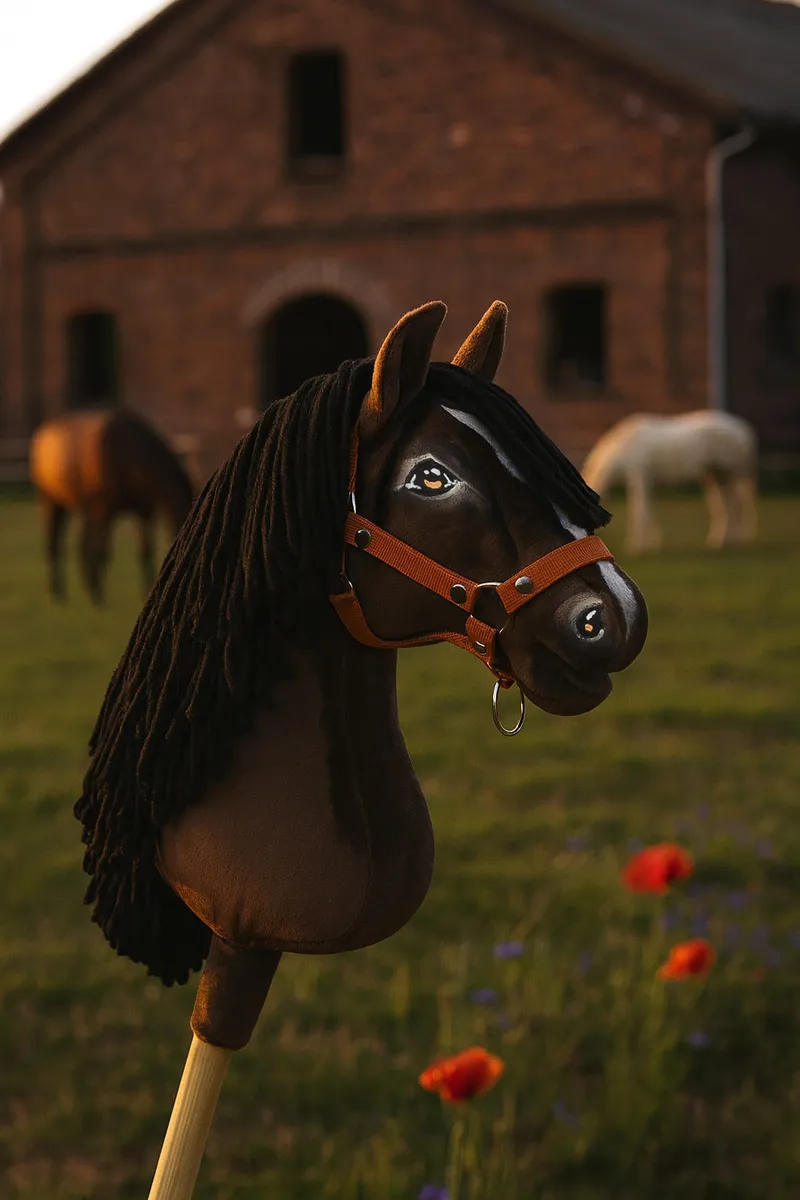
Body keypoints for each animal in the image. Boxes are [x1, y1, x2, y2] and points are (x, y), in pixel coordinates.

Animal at [29, 408, 194, 604]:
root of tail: (44, 431)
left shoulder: (144, 512)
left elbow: (145, 551)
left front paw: (147, 592)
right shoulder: (105, 512)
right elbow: (103, 552)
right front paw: (99, 596)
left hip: (81, 509)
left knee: (80, 544)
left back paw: (82, 587)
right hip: (50, 502)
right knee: (54, 543)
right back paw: (58, 592)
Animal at [581, 410, 758, 554]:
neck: (624, 447)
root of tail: (742, 428)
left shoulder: (639, 477)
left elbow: (639, 510)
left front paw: (637, 546)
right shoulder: (647, 481)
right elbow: (649, 510)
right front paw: (654, 543)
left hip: (729, 474)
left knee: (734, 505)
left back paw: (728, 541)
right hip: (716, 476)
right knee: (724, 505)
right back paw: (721, 541)